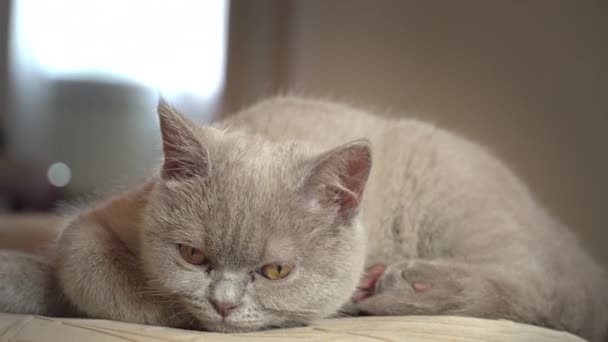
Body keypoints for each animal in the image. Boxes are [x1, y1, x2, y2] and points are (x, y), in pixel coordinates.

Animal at [0, 97, 604, 342]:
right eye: (192, 255)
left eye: (275, 272)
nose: (222, 304)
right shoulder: (102, 220)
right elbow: (82, 260)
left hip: (459, 202)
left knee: (548, 290)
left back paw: (403, 284)